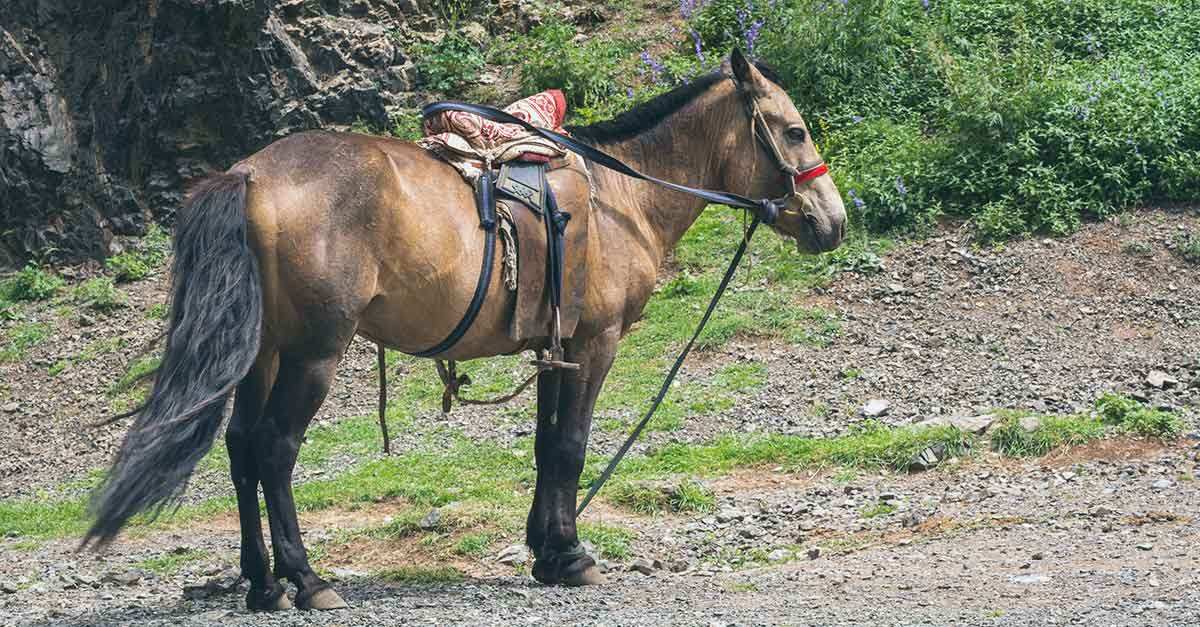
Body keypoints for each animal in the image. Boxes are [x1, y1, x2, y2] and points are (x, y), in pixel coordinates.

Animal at [84, 52, 849, 610]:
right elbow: (571, 447)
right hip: (313, 353)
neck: (620, 197)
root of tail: (247, 173)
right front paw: (572, 557)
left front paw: (547, 552)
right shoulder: (592, 344)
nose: (832, 220)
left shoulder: (553, 349)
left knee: (242, 449)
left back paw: (261, 583)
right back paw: (306, 579)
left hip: (265, 351)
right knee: (273, 451)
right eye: (793, 131)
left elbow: (545, 449)